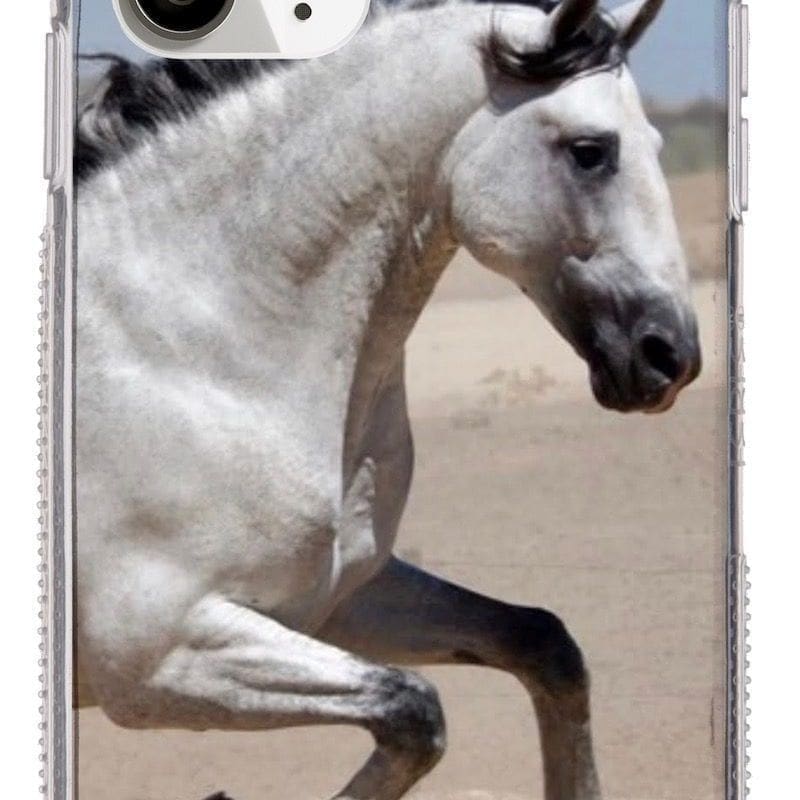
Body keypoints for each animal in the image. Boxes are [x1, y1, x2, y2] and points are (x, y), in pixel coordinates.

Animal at [75, 1, 700, 798]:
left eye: (655, 143)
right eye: (591, 151)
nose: (672, 357)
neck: (195, 353)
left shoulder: (341, 600)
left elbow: (545, 645)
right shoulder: (156, 659)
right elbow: (414, 708)